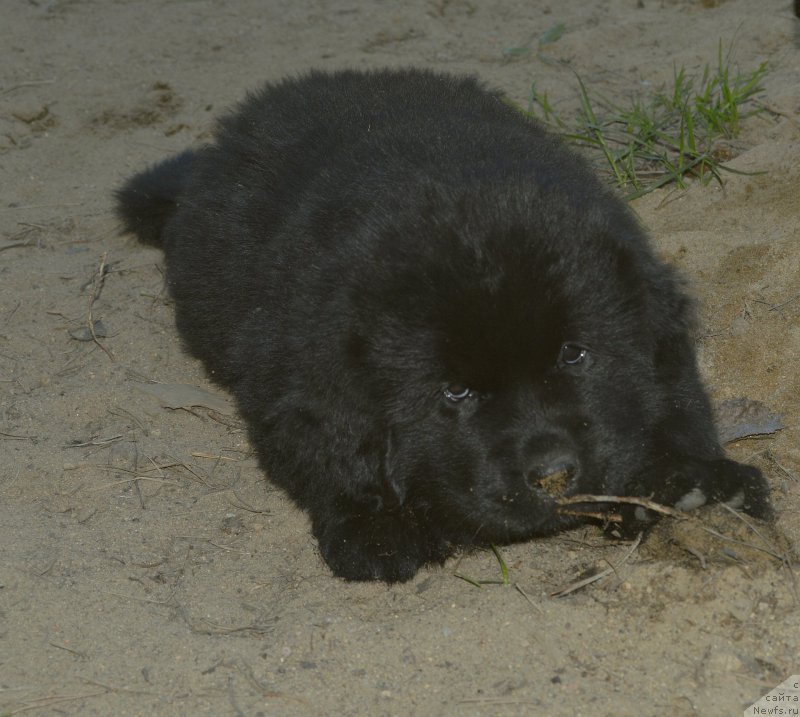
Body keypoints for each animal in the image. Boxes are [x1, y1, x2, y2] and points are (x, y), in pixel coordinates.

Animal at [115, 67, 772, 580]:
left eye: (574, 355)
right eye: (454, 393)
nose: (554, 476)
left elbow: (675, 401)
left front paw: (689, 484)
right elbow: (330, 454)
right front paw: (378, 528)